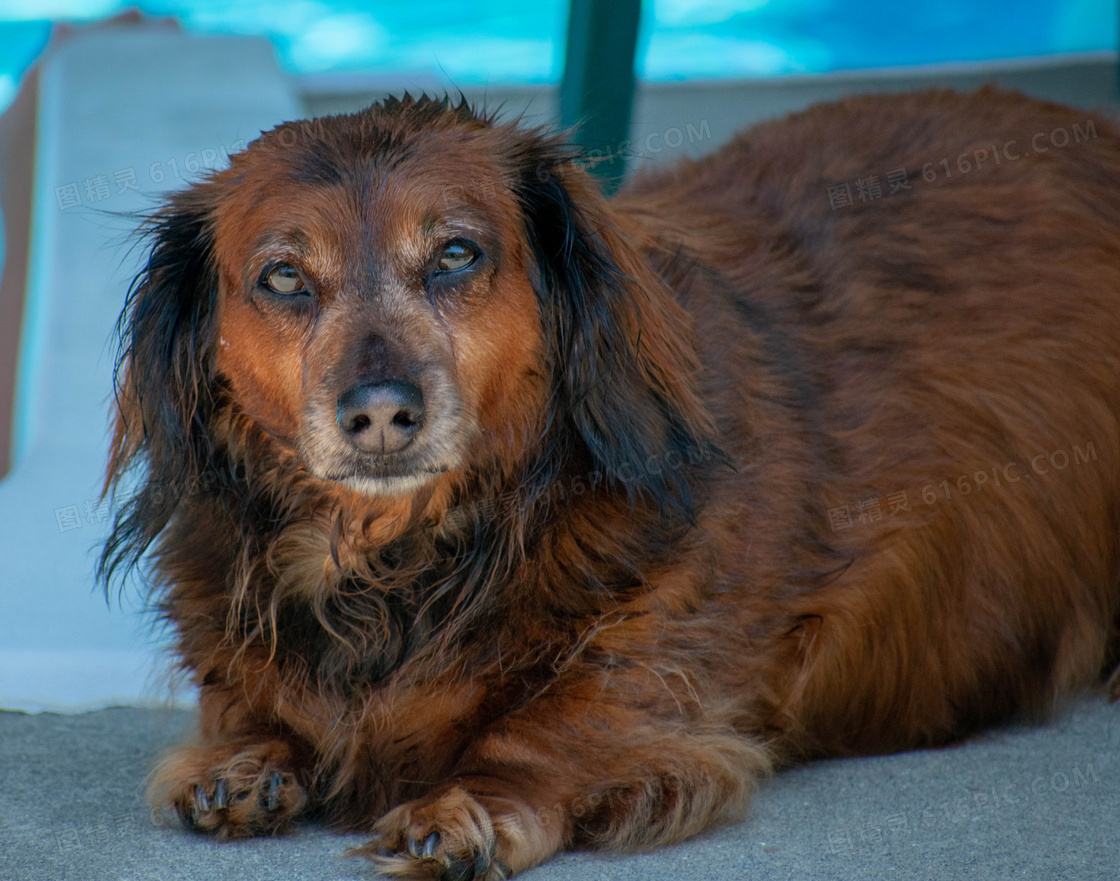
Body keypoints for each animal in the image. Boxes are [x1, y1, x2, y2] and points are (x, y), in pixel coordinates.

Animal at [103, 86, 1120, 877]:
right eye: (282, 275)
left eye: (457, 253)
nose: (382, 413)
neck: (404, 563)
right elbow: (246, 703)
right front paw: (242, 760)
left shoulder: (665, 662)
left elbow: (554, 724)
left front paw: (470, 802)